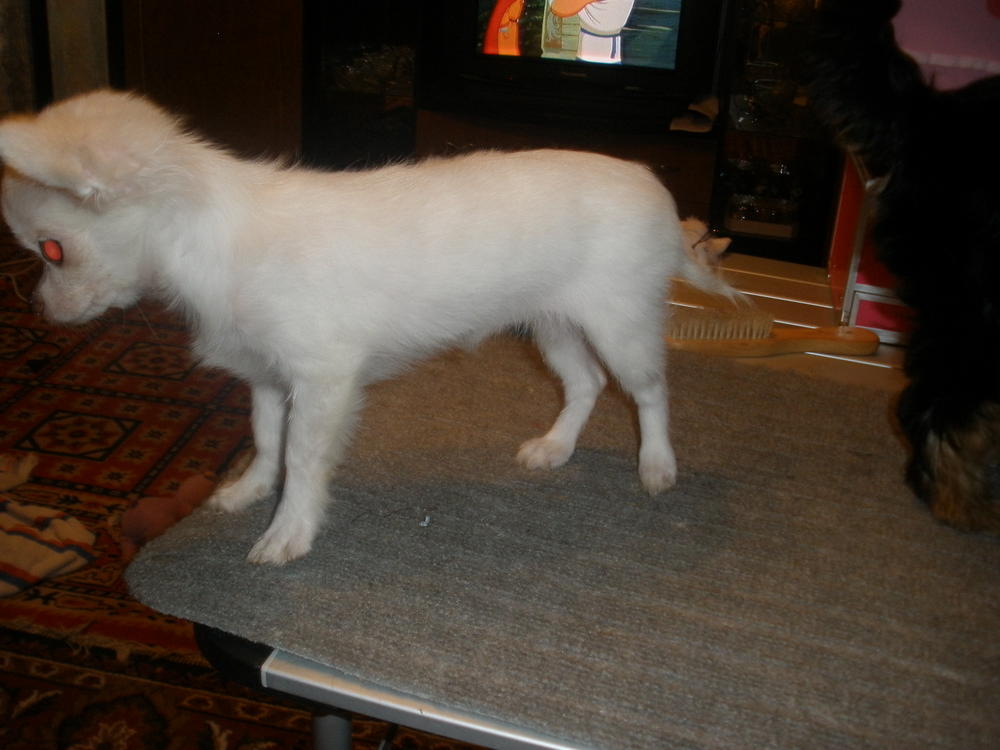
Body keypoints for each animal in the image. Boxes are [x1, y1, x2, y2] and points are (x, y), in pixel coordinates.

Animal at [0, 90, 735, 563]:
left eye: (52, 250)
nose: (38, 311)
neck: (209, 238)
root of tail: (660, 193)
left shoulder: (323, 380)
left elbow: (303, 458)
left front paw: (288, 533)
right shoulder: (267, 376)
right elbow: (265, 440)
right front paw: (250, 491)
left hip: (620, 321)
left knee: (648, 391)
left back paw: (657, 465)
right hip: (551, 325)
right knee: (584, 384)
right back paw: (554, 447)